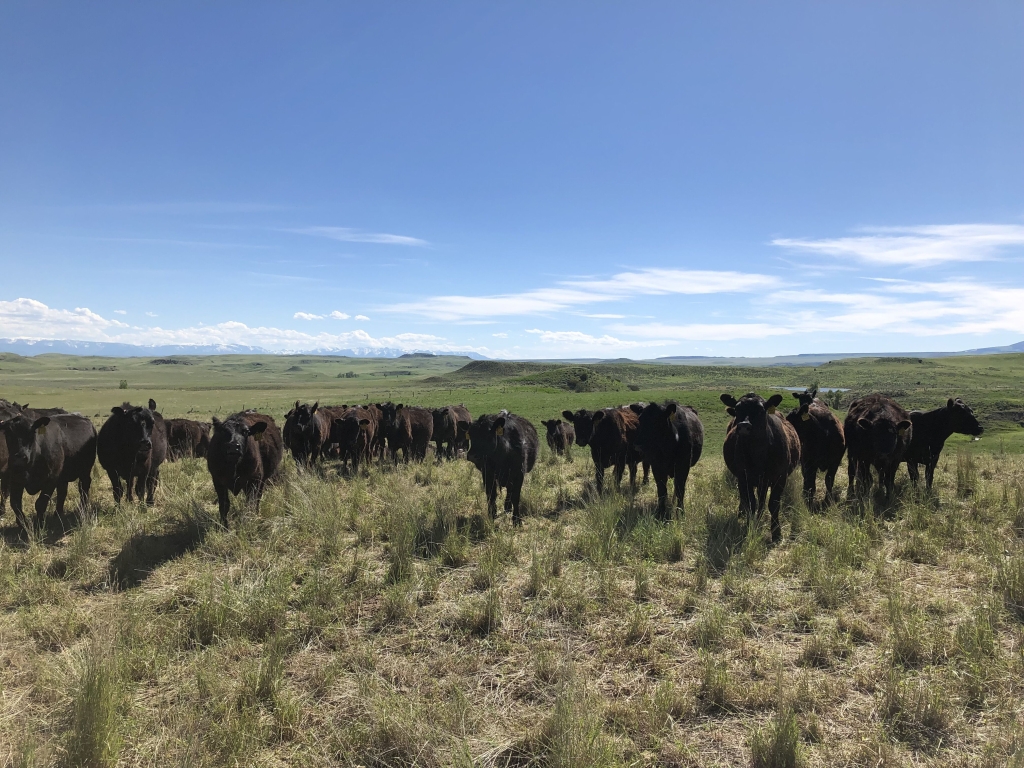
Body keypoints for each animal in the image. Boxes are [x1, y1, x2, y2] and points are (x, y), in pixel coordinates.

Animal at [720, 393, 798, 544]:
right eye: (737, 409)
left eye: (761, 410)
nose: (744, 426)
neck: (758, 454)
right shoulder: (744, 477)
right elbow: (750, 503)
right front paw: (749, 527)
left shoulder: (780, 478)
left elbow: (773, 504)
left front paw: (776, 533)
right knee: (746, 498)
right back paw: (743, 513)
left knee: (762, 500)